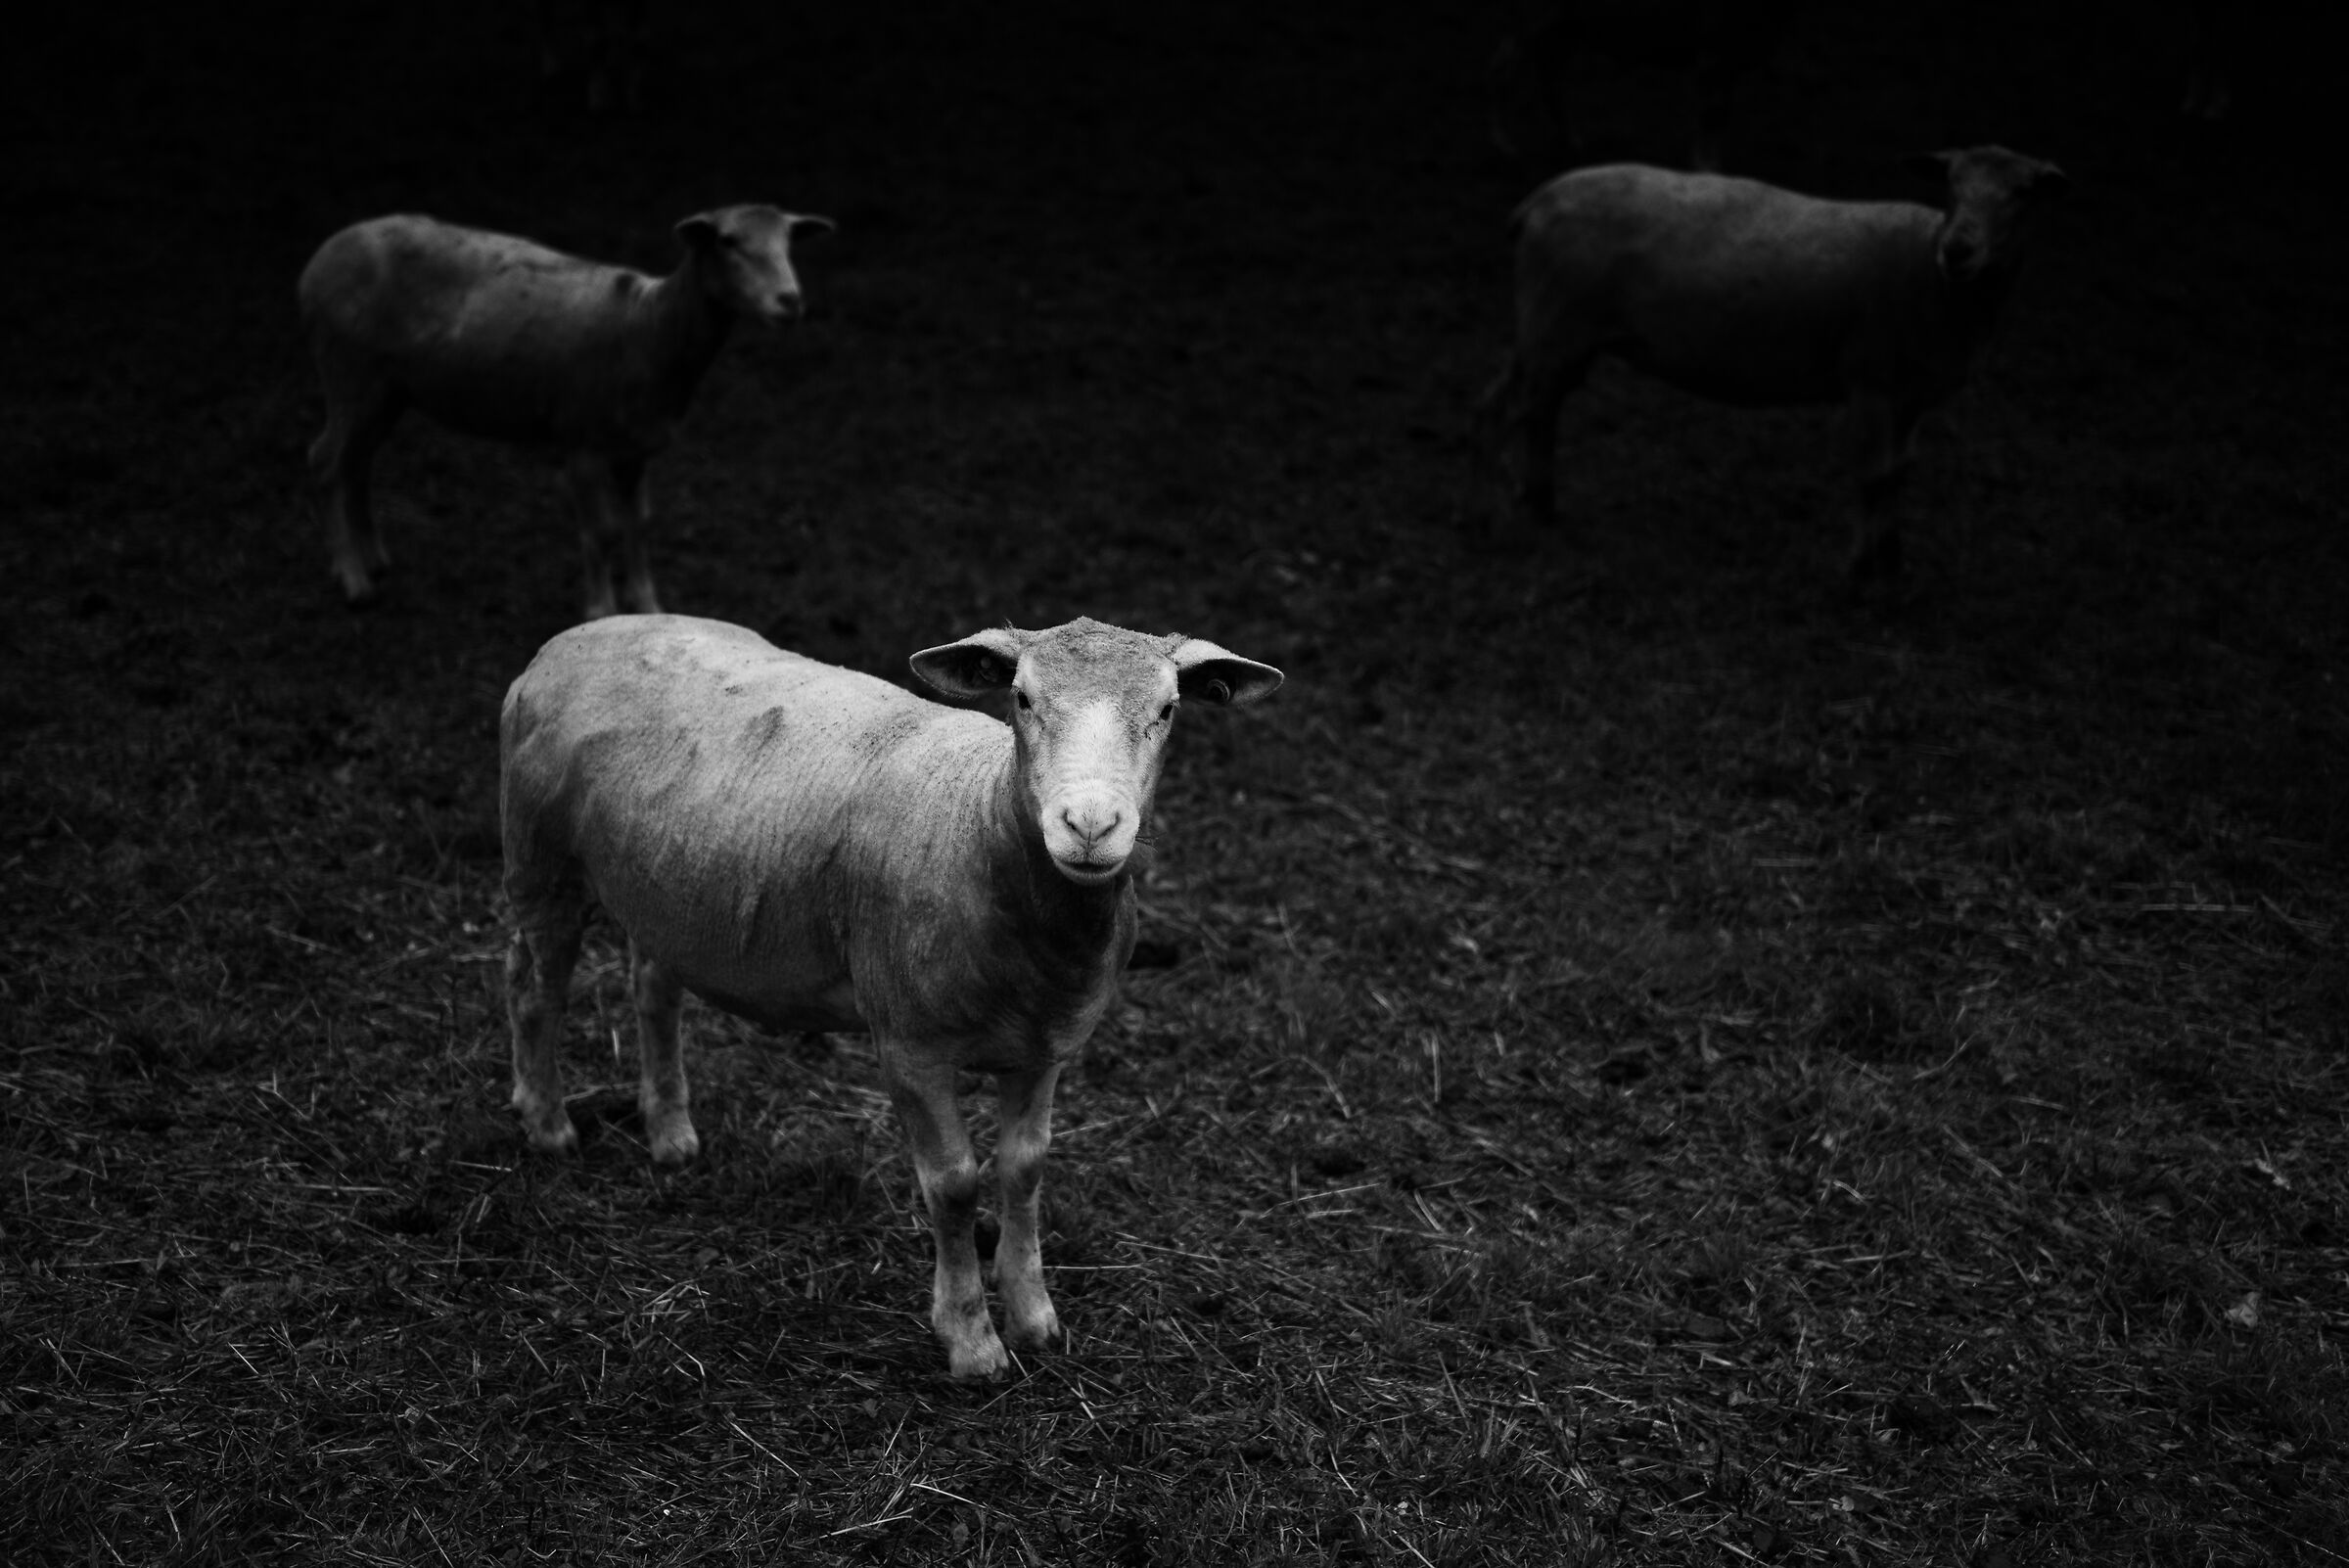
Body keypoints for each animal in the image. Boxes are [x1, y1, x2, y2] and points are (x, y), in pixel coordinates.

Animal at [297, 205, 833, 619]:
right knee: (324, 461)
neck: (650, 328)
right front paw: (600, 609)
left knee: (358, 461)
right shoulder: (580, 439)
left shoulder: (636, 449)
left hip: (386, 388)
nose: (790, 300)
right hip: (348, 368)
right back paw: (352, 578)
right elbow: (601, 530)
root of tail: (316, 265)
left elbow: (639, 523)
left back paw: (373, 558)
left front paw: (648, 605)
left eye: (789, 242)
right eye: (727, 241)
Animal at [499, 613, 1283, 1378]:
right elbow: (955, 1184)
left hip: (667, 892)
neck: (980, 825)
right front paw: (971, 1341)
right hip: (541, 858)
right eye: (1022, 699)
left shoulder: (1045, 1045)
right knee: (536, 990)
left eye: (1168, 708)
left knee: (653, 988)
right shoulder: (910, 1047)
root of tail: (579, 635)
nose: (1089, 826)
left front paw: (1033, 1317)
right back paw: (547, 1125)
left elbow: (1025, 1168)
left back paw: (669, 1133)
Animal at [1485, 146, 2067, 579]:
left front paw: (1891, 562)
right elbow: (1873, 476)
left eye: (2022, 193)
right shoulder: (1872, 383)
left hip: (1561, 333)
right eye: (1950, 184)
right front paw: (1859, 572)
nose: (1959, 249)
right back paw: (1526, 504)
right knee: (1526, 409)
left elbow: (1898, 474)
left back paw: (1540, 500)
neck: (1937, 283)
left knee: (1539, 409)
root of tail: (1535, 202)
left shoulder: (1910, 395)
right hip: (1554, 323)